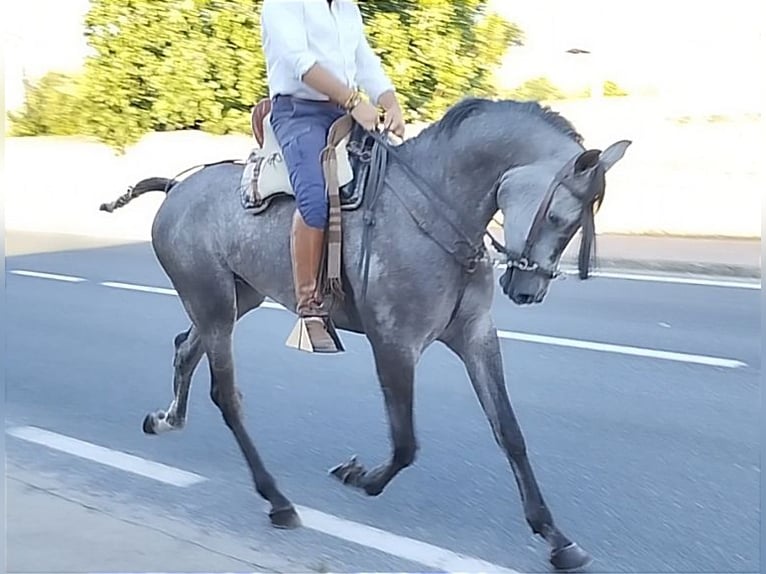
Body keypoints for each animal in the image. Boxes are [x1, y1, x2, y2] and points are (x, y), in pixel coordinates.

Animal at [100, 98, 632, 572]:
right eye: (561, 217)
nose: (528, 290)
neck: (436, 209)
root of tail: (176, 187)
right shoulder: (394, 343)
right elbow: (405, 442)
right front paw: (361, 477)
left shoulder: (476, 335)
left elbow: (510, 432)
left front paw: (555, 537)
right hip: (212, 304)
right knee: (226, 395)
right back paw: (277, 499)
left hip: (235, 299)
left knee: (185, 350)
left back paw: (168, 419)